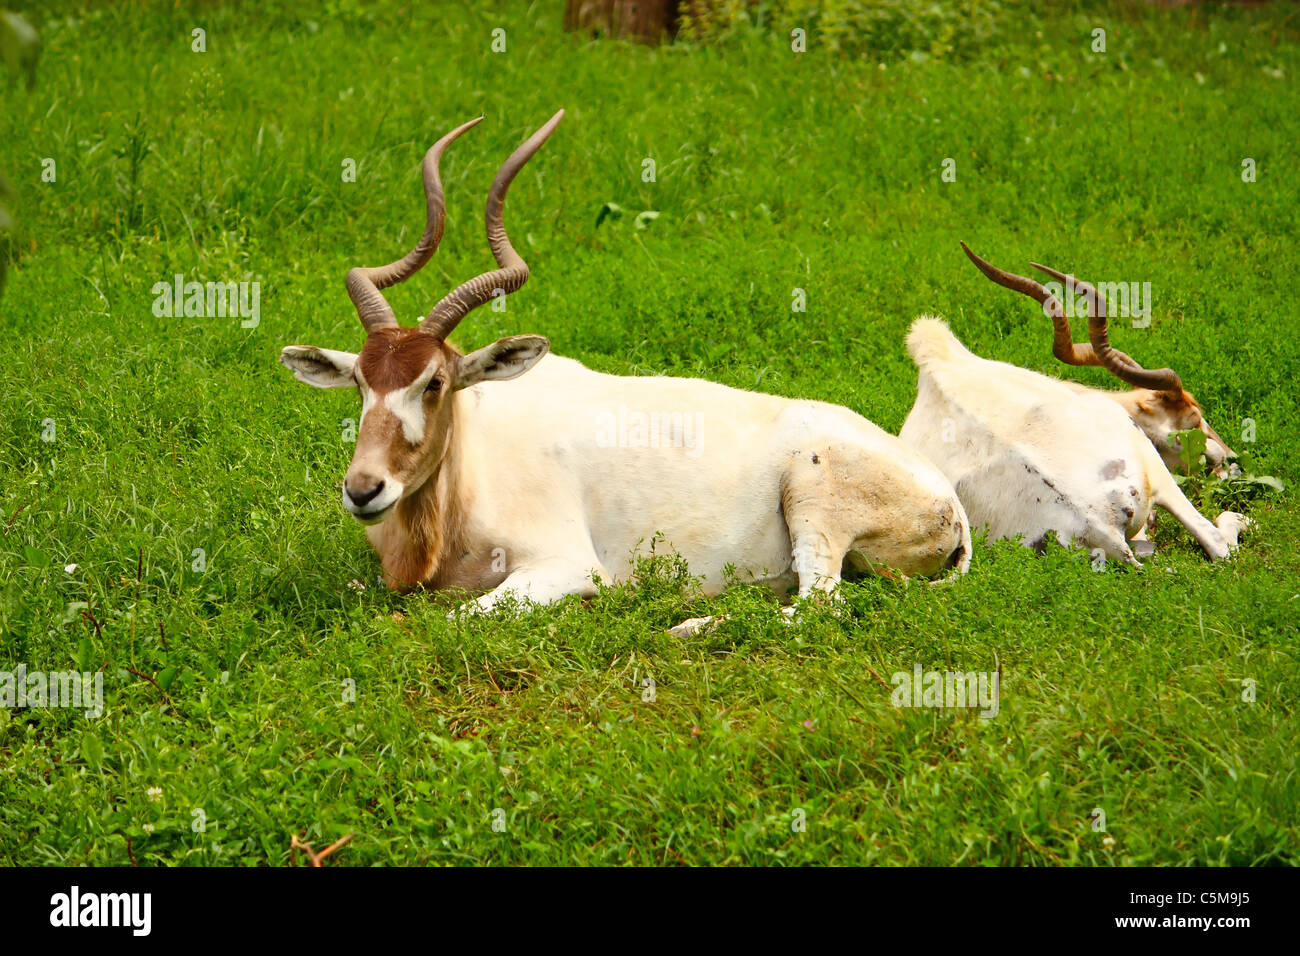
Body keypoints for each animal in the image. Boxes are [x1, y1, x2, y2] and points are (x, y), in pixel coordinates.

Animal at [279, 111, 972, 620]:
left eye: (435, 382)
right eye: (361, 382)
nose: (364, 489)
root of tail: (948, 502)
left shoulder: (562, 567)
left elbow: (459, 615)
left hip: (813, 496)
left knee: (819, 607)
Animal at [899, 244, 1248, 566]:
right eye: (1194, 419)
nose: (1232, 459)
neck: (943, 364)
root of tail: (1099, 526)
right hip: (1159, 476)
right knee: (1220, 545)